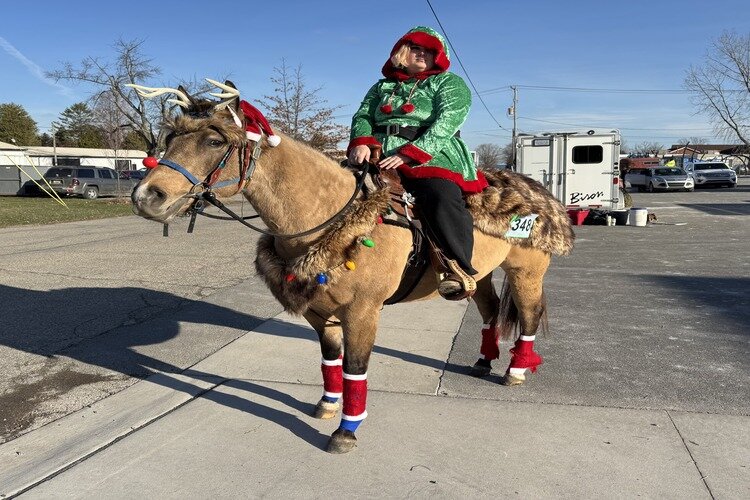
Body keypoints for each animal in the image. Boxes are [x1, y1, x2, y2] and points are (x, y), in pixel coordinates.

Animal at [128, 78, 576, 454]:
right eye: (171, 136)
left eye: (214, 139)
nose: (146, 196)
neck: (334, 217)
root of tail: (537, 190)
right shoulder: (318, 311)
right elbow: (331, 363)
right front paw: (327, 405)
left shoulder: (362, 312)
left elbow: (355, 369)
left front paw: (347, 430)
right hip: (478, 275)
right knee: (488, 311)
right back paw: (484, 361)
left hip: (527, 272)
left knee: (528, 316)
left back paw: (516, 370)